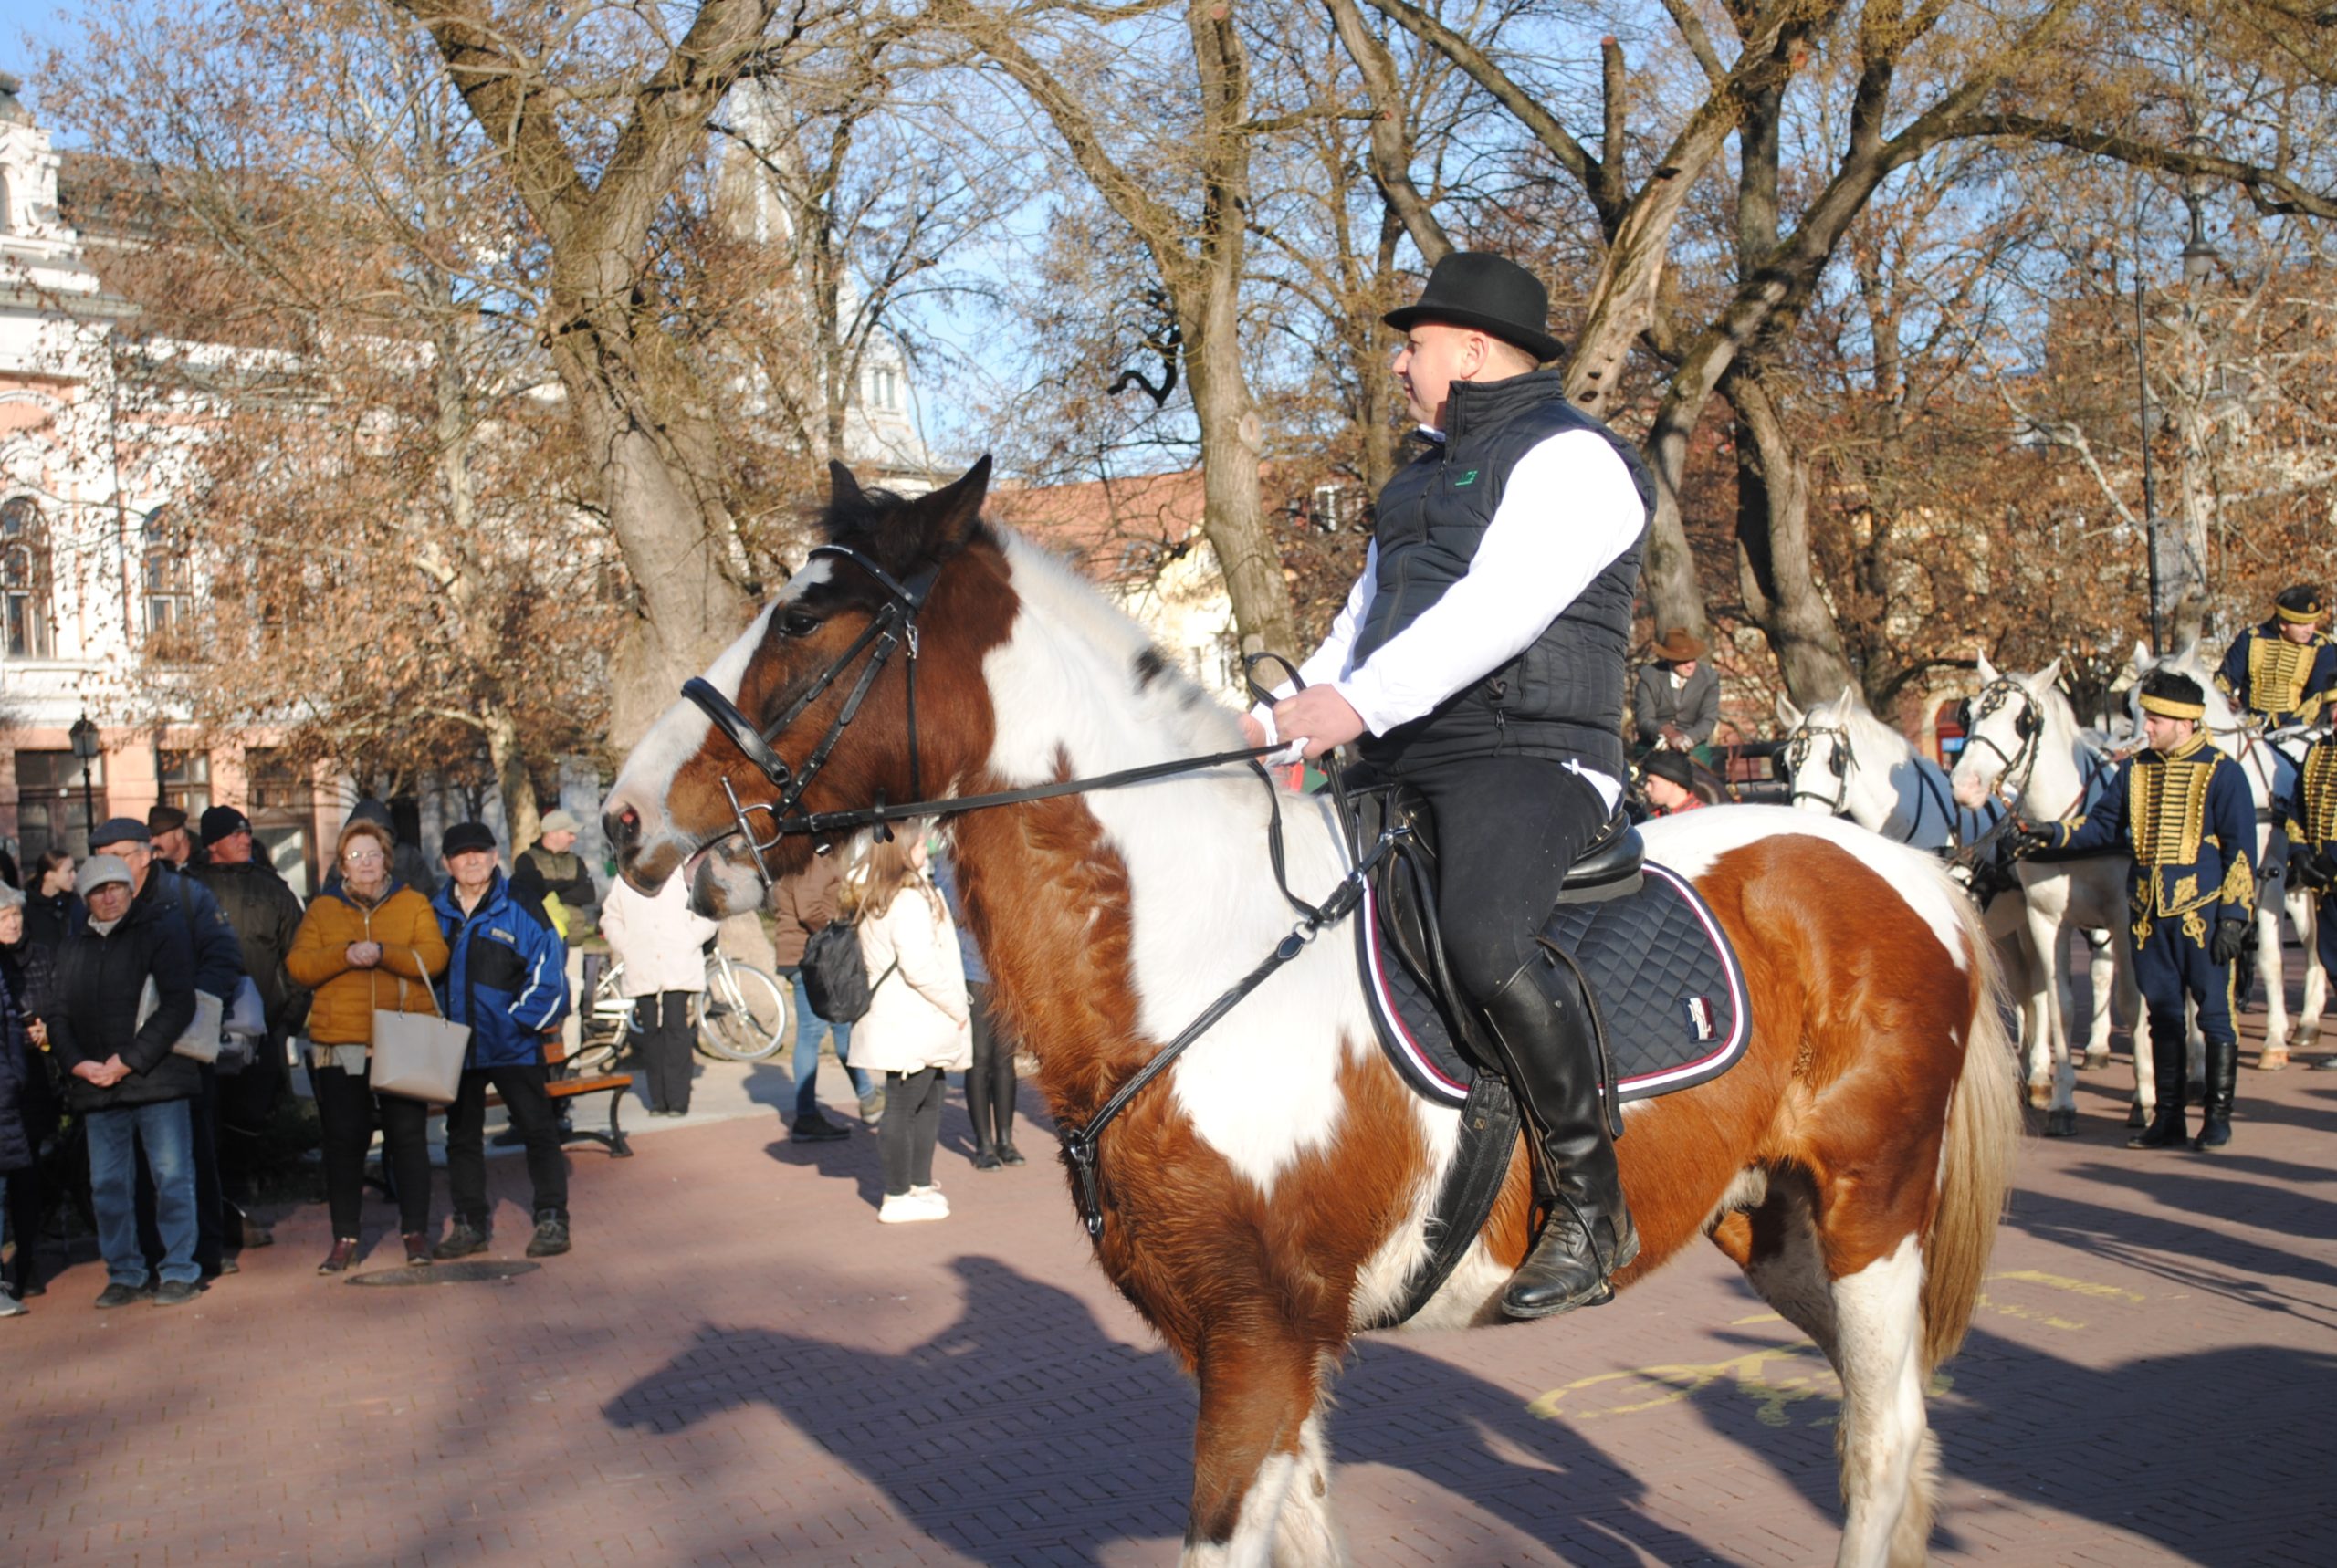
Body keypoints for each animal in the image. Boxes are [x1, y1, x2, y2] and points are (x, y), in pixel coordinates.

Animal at [607, 460, 2028, 1561]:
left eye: (807, 618)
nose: (622, 812)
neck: (1190, 946)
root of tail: (1905, 870)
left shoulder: (1260, 1340)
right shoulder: (1249, 1353)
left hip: (1871, 1217)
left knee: (1880, 1437)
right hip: (1777, 1227)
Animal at [1944, 653, 2140, 1135]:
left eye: (2023, 721)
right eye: (1969, 714)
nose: (1965, 785)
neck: (2074, 829)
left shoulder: (2124, 917)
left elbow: (2134, 999)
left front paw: (2145, 1099)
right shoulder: (2044, 920)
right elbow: (2059, 1004)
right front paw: (2063, 1100)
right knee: (2030, 991)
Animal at [2122, 635, 2318, 1065]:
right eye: (2129, 705)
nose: (2136, 753)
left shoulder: (2270, 878)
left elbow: (2270, 958)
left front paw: (2274, 1043)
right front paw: (2198, 1052)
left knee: (2313, 945)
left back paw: (2307, 1022)